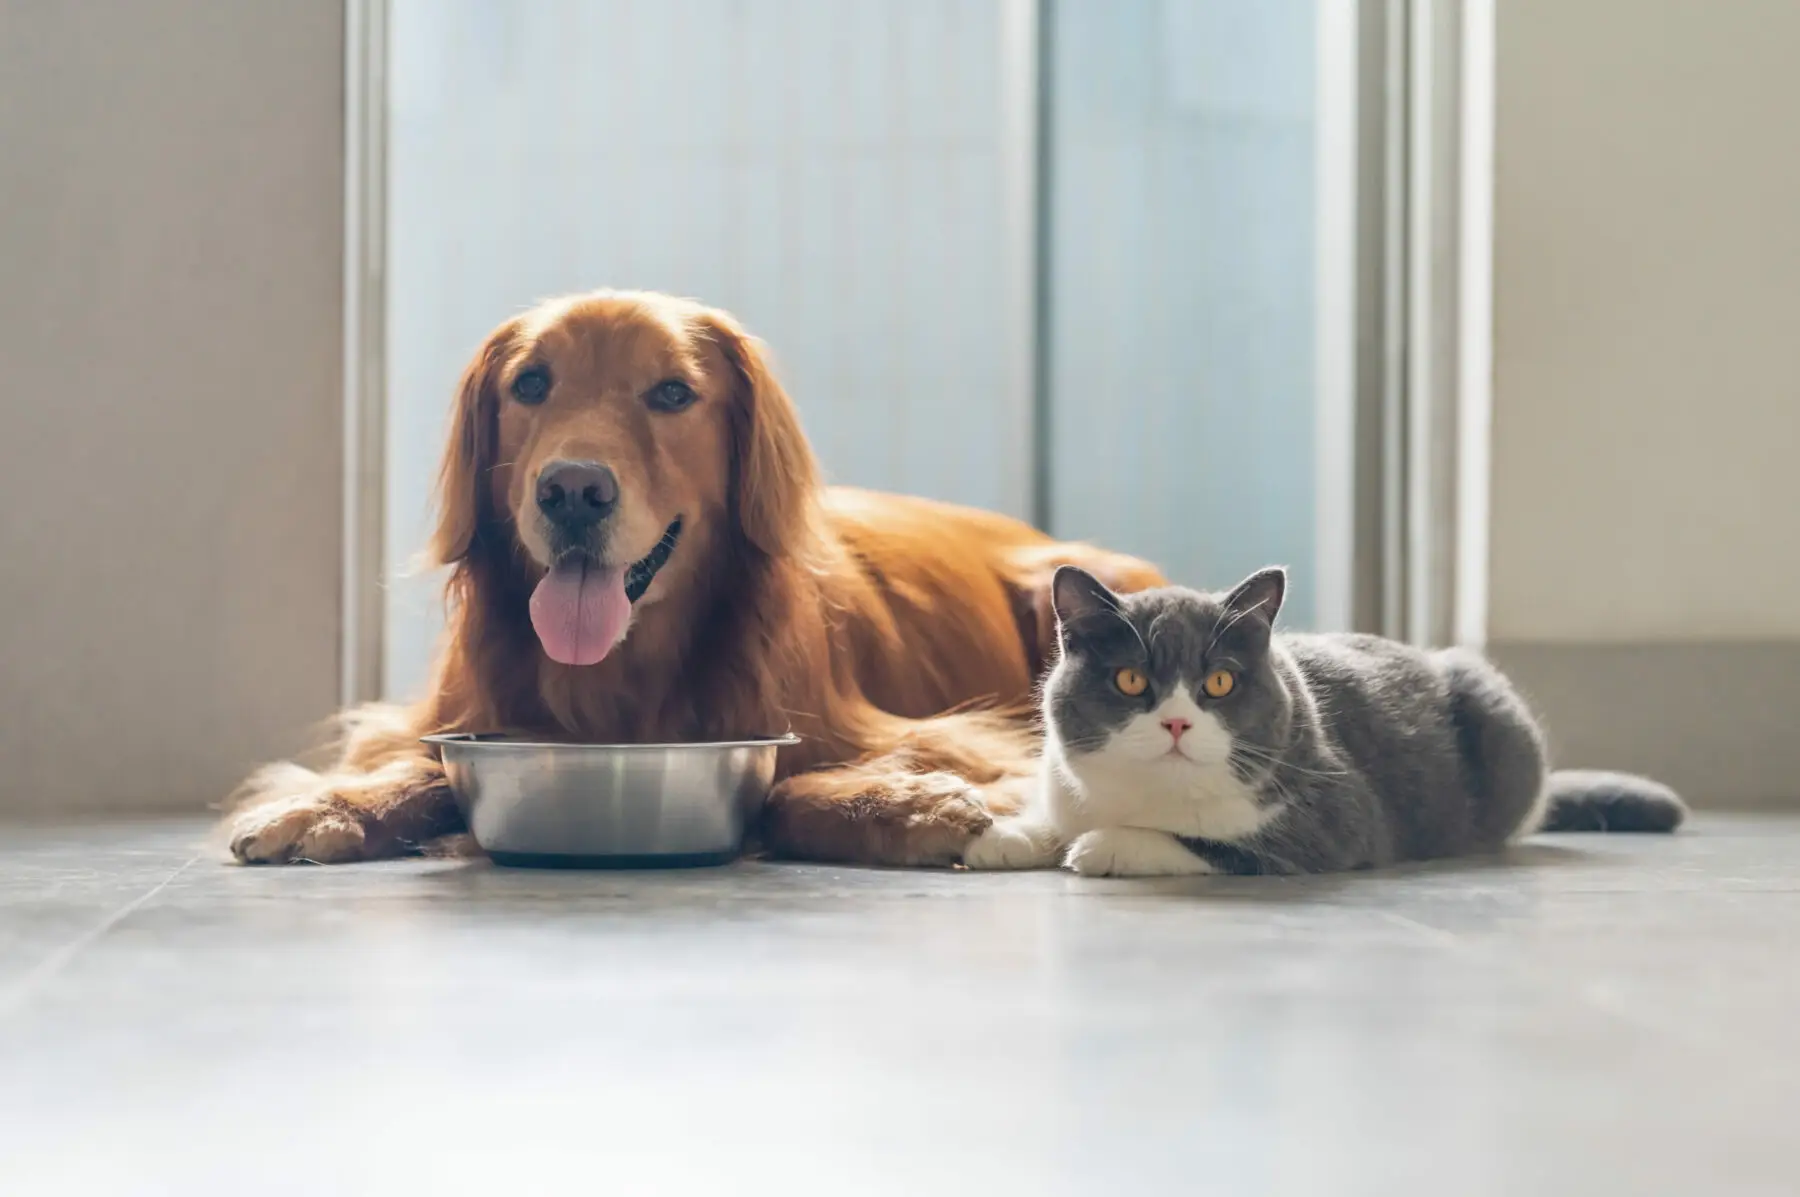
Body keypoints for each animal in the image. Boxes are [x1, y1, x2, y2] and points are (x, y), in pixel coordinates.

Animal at [225, 289, 1159, 867]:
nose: (572, 490)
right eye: (531, 382)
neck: (620, 682)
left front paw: (904, 804)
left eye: (673, 392)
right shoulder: (442, 719)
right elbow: (413, 767)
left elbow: (788, 786)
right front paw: (324, 806)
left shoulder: (953, 736)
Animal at [964, 565, 1677, 874]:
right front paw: (1006, 837)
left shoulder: (1334, 818)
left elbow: (1209, 844)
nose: (1176, 724)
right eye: (1131, 680)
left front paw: (1103, 845)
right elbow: (1054, 815)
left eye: (1219, 682)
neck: (1146, 793)